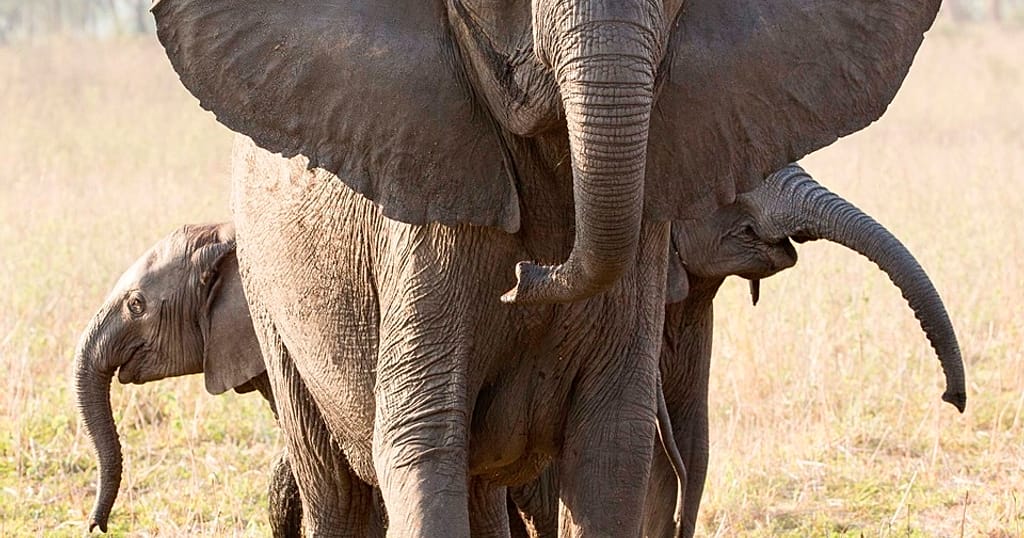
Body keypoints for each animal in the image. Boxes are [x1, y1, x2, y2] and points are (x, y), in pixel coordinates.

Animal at [144, 0, 965, 535]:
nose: (954, 399)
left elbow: (614, 454)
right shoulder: (423, 224)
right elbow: (419, 440)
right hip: (267, 293)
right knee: (337, 495)